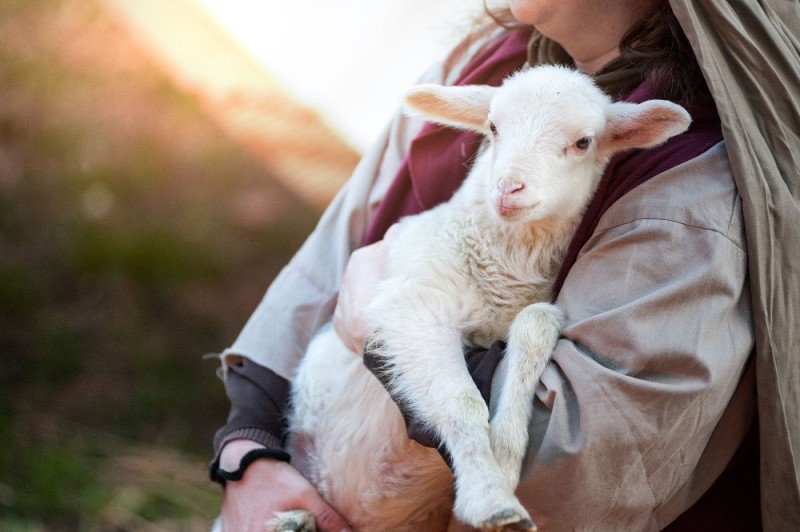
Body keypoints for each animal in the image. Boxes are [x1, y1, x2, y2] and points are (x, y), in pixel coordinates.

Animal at [260, 64, 692, 528]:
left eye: (583, 142)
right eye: (493, 127)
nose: (508, 188)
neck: (500, 271)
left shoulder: (528, 308)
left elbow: (535, 325)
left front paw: (504, 453)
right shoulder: (415, 305)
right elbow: (461, 400)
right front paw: (491, 497)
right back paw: (292, 521)